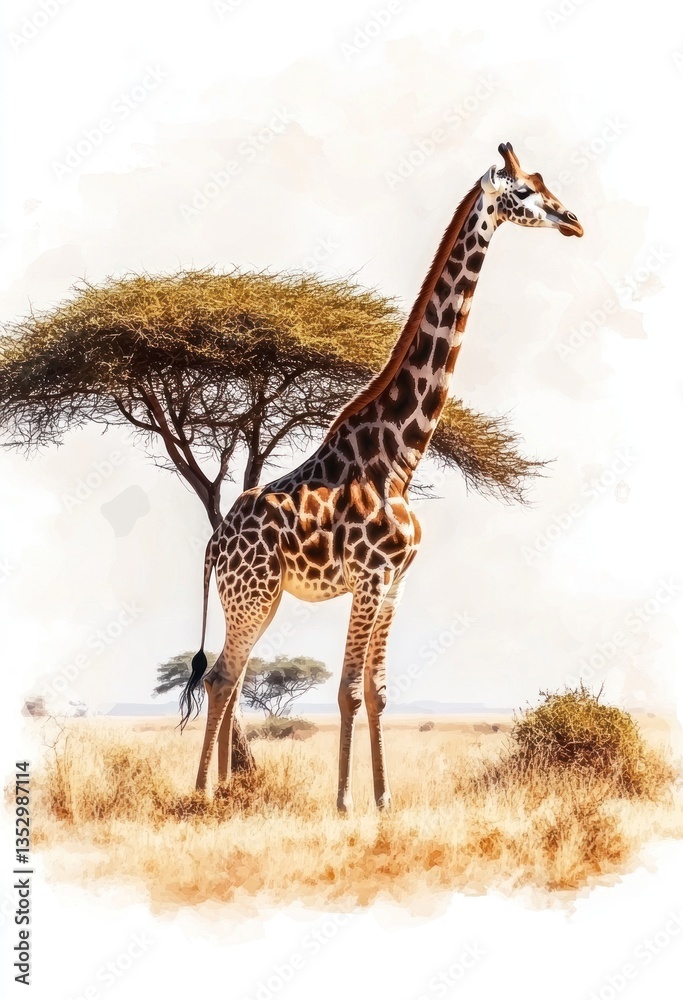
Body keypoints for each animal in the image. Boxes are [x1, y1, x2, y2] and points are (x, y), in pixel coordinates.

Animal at [180, 142, 583, 812]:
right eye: (524, 192)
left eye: (543, 181)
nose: (573, 220)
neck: (400, 456)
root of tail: (213, 543)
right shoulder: (369, 577)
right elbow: (346, 688)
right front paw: (345, 804)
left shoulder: (395, 583)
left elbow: (378, 692)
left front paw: (384, 801)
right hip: (252, 593)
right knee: (220, 677)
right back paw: (201, 797)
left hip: (260, 597)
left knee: (229, 679)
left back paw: (225, 791)